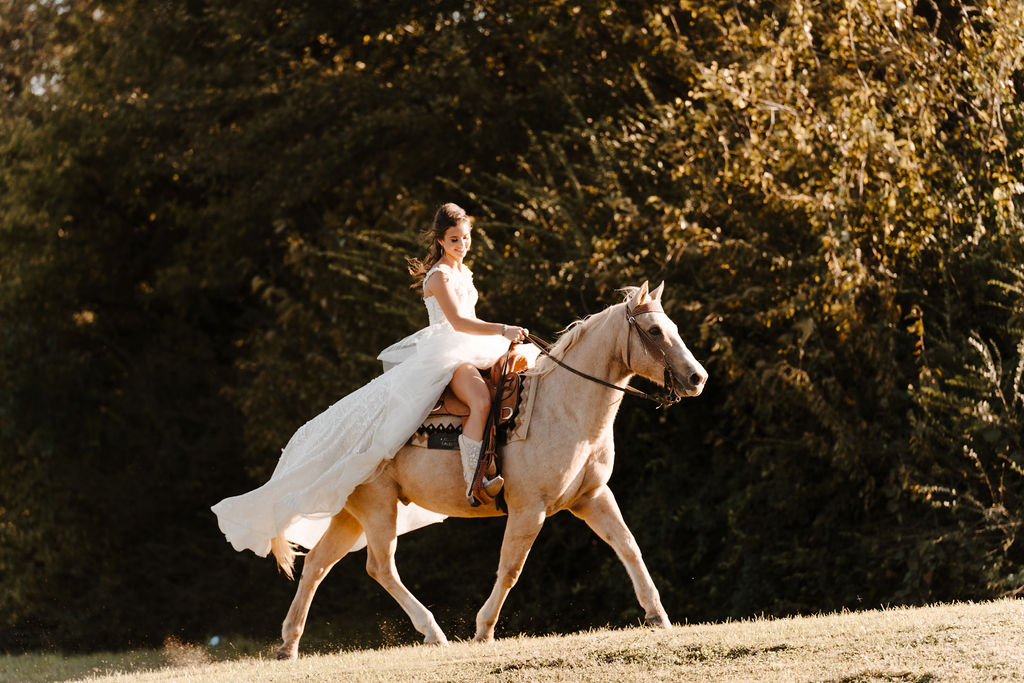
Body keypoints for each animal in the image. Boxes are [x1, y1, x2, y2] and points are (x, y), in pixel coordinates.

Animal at [274, 280, 704, 659]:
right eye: (654, 330)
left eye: (673, 327)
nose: (697, 377)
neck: (562, 407)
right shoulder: (530, 509)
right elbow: (511, 568)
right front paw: (483, 629)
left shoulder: (593, 498)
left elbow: (628, 546)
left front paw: (658, 615)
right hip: (379, 507)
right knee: (380, 566)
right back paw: (433, 632)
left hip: (352, 514)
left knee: (316, 565)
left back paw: (289, 645)